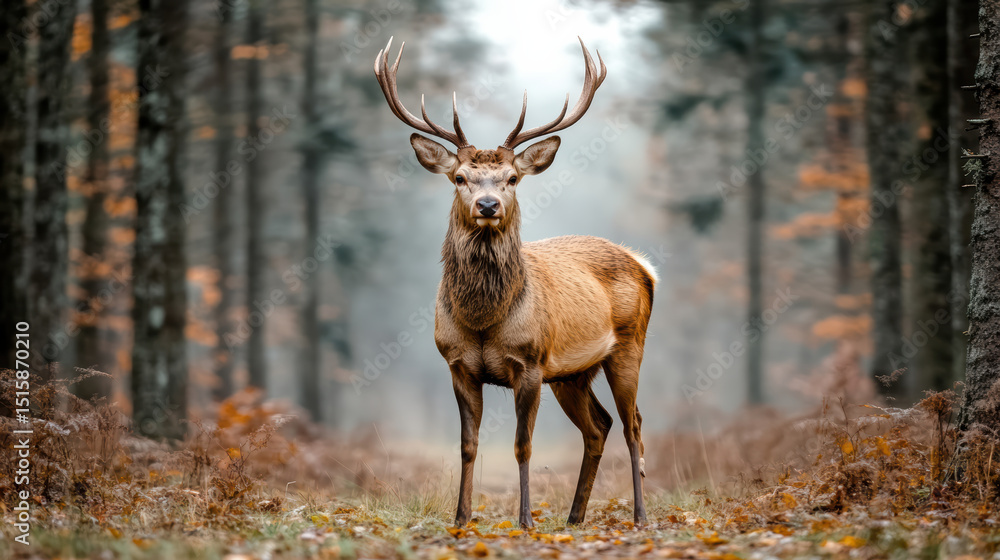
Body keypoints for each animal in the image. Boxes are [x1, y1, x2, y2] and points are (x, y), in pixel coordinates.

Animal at [374, 37, 657, 529]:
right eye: (460, 177)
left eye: (512, 178)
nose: (487, 205)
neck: (485, 320)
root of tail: (643, 264)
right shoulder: (457, 363)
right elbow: (468, 446)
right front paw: (461, 518)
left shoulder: (529, 362)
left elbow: (523, 445)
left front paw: (525, 520)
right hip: (572, 372)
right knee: (598, 426)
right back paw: (574, 517)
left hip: (627, 345)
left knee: (632, 424)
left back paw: (638, 516)